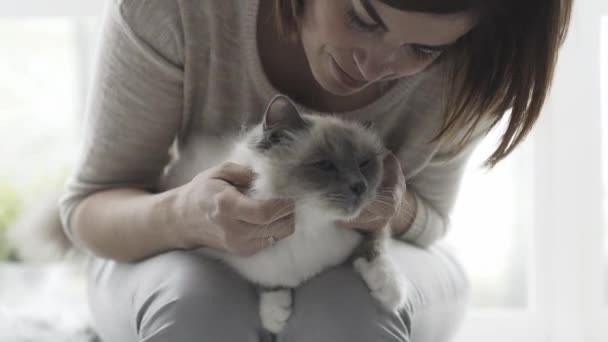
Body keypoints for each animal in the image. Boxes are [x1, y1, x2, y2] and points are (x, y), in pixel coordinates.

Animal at [201, 95, 408, 334]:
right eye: (325, 165)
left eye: (364, 164)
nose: (360, 187)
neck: (311, 226)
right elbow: (267, 279)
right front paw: (275, 317)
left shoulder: (370, 222)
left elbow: (375, 246)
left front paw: (390, 289)